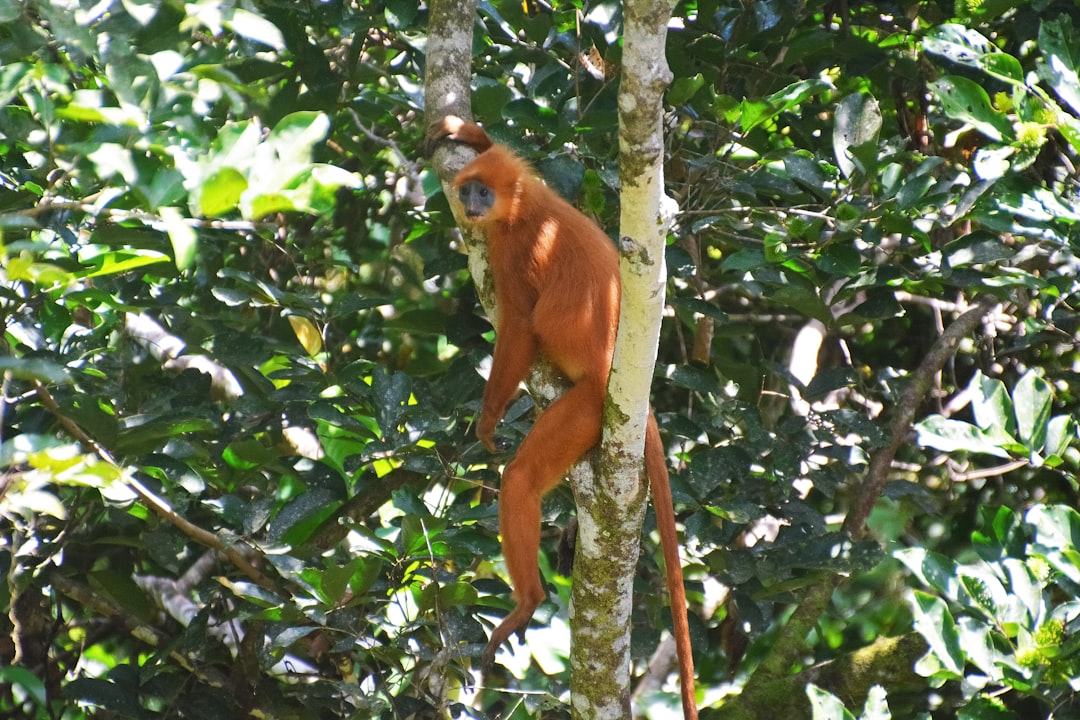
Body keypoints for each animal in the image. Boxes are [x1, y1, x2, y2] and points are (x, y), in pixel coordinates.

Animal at [425, 115, 695, 716]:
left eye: (483, 195)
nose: (470, 204)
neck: (523, 207)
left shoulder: (513, 245)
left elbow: (521, 327)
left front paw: (487, 421)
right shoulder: (537, 191)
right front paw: (464, 131)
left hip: (588, 408)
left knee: (522, 478)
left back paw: (528, 601)